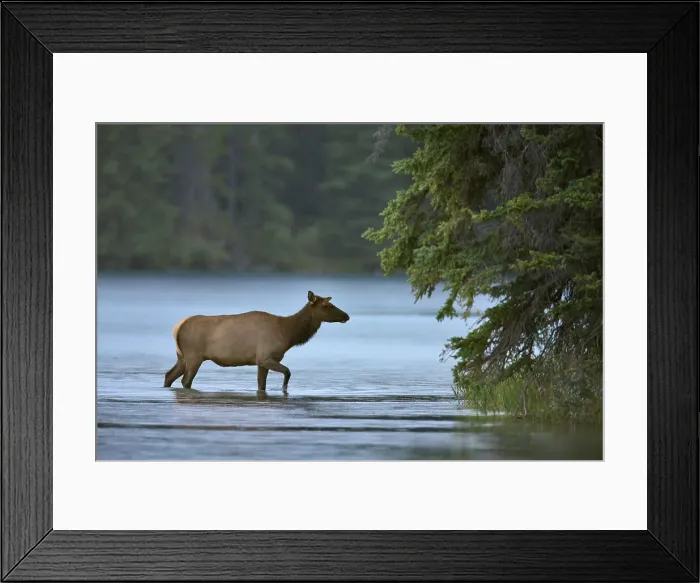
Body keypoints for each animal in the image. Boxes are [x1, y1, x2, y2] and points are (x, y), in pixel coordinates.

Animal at [163, 290, 350, 392]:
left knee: (169, 375)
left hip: (182, 356)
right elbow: (288, 372)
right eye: (326, 306)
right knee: (185, 381)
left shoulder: (261, 362)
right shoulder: (265, 357)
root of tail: (176, 328)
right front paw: (284, 389)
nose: (346, 315)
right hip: (194, 356)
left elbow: (262, 385)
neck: (288, 334)